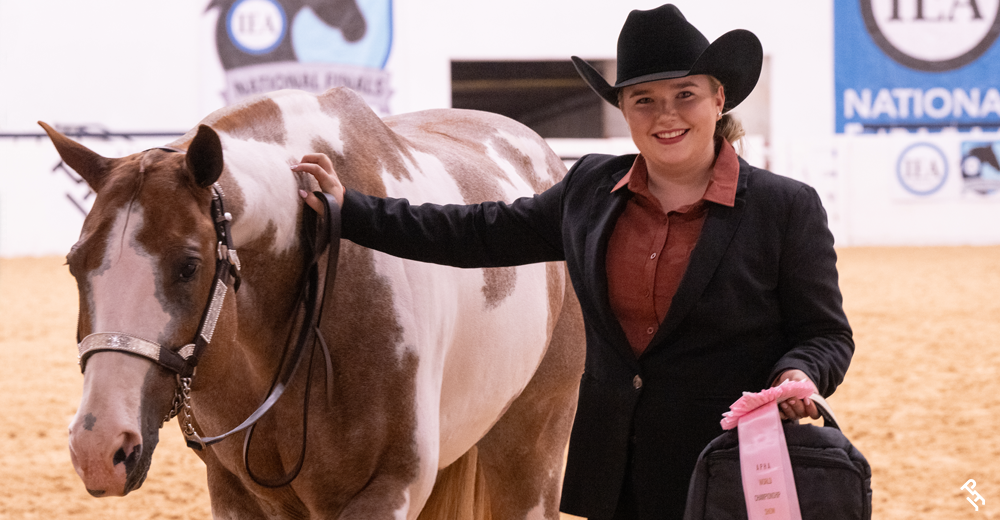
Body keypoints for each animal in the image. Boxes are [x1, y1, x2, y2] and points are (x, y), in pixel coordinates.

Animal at [43, 87, 584, 516]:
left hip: (531, 451)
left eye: (189, 266)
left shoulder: (387, 491)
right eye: (74, 263)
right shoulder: (236, 496)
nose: (99, 447)